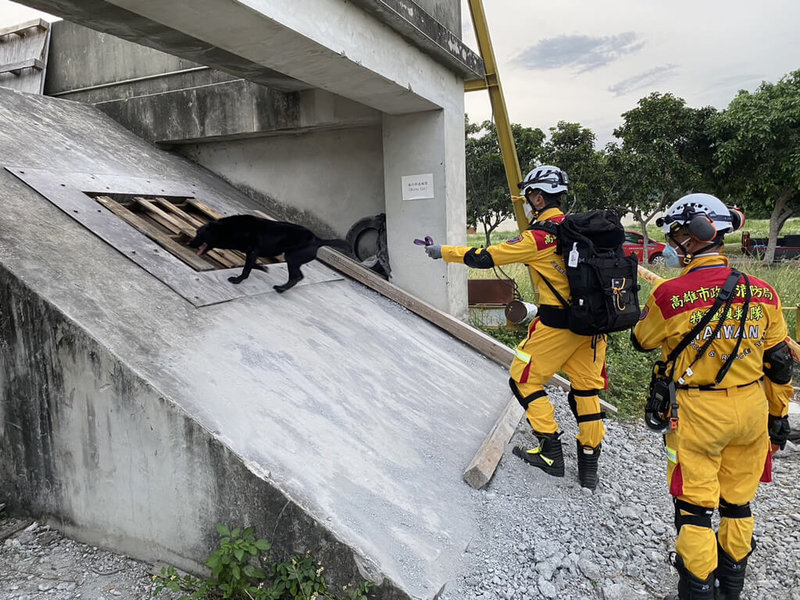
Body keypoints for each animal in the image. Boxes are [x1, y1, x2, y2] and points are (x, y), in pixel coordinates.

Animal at [189, 213, 352, 292]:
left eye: (199, 234)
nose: (189, 243)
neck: (231, 229)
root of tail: (318, 240)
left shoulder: (252, 251)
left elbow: (246, 269)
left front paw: (237, 280)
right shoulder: (251, 254)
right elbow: (251, 265)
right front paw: (262, 268)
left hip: (292, 257)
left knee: (296, 276)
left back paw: (281, 288)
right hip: (294, 259)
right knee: (298, 276)